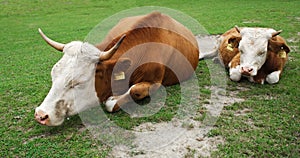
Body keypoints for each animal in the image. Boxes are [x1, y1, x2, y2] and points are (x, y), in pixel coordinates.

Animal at [34, 12, 199, 126]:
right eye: (53, 76)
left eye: (78, 83)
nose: (41, 115)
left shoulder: (157, 82)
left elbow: (129, 93)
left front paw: (114, 98)